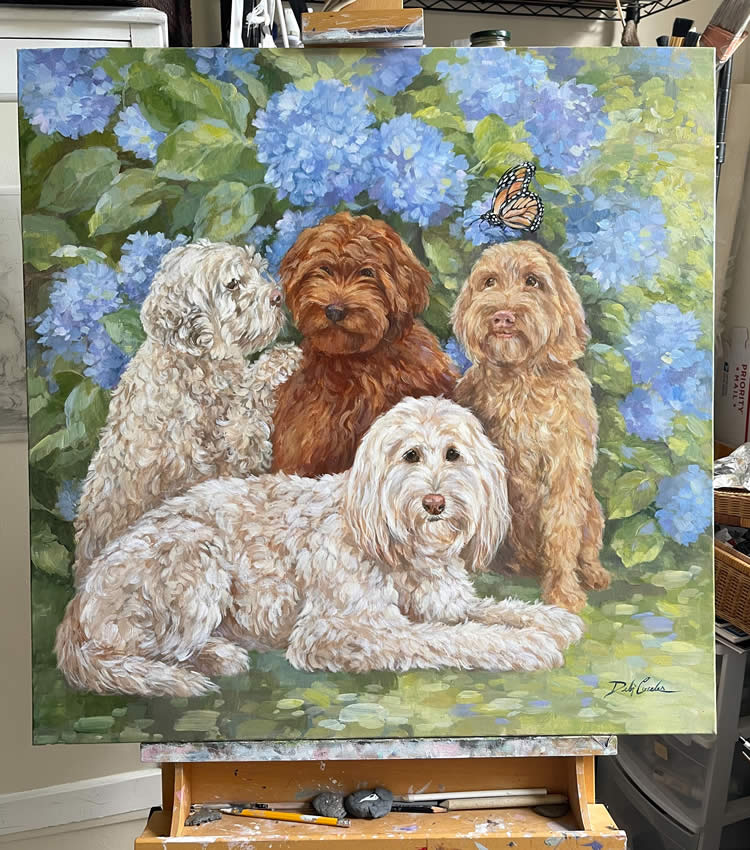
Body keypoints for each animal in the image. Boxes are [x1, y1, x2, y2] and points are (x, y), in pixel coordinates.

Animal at [58, 394, 588, 692]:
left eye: (454, 454)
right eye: (411, 455)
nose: (435, 502)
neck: (402, 549)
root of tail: (81, 598)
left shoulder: (444, 602)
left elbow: (488, 611)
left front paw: (550, 620)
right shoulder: (337, 630)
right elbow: (447, 638)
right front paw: (525, 647)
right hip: (195, 553)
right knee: (150, 650)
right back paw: (217, 657)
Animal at [73, 238, 302, 584]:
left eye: (256, 270)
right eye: (232, 284)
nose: (278, 296)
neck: (192, 360)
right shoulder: (233, 454)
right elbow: (249, 401)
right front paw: (279, 359)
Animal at [452, 238, 612, 608]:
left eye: (533, 281)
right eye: (489, 281)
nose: (503, 316)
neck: (519, 380)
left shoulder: (564, 472)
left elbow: (562, 533)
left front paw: (564, 594)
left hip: (592, 510)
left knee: (586, 547)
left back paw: (593, 574)